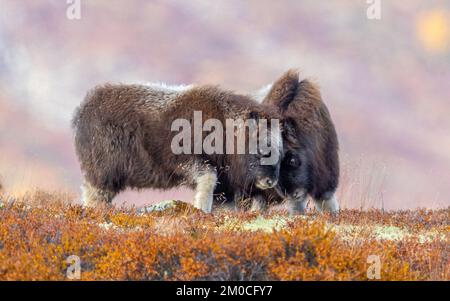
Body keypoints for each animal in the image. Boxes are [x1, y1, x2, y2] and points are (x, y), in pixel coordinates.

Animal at [72, 82, 284, 213]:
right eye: (263, 149)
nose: (271, 182)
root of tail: (82, 110)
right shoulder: (187, 161)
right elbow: (208, 178)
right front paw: (201, 209)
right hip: (104, 171)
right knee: (95, 193)